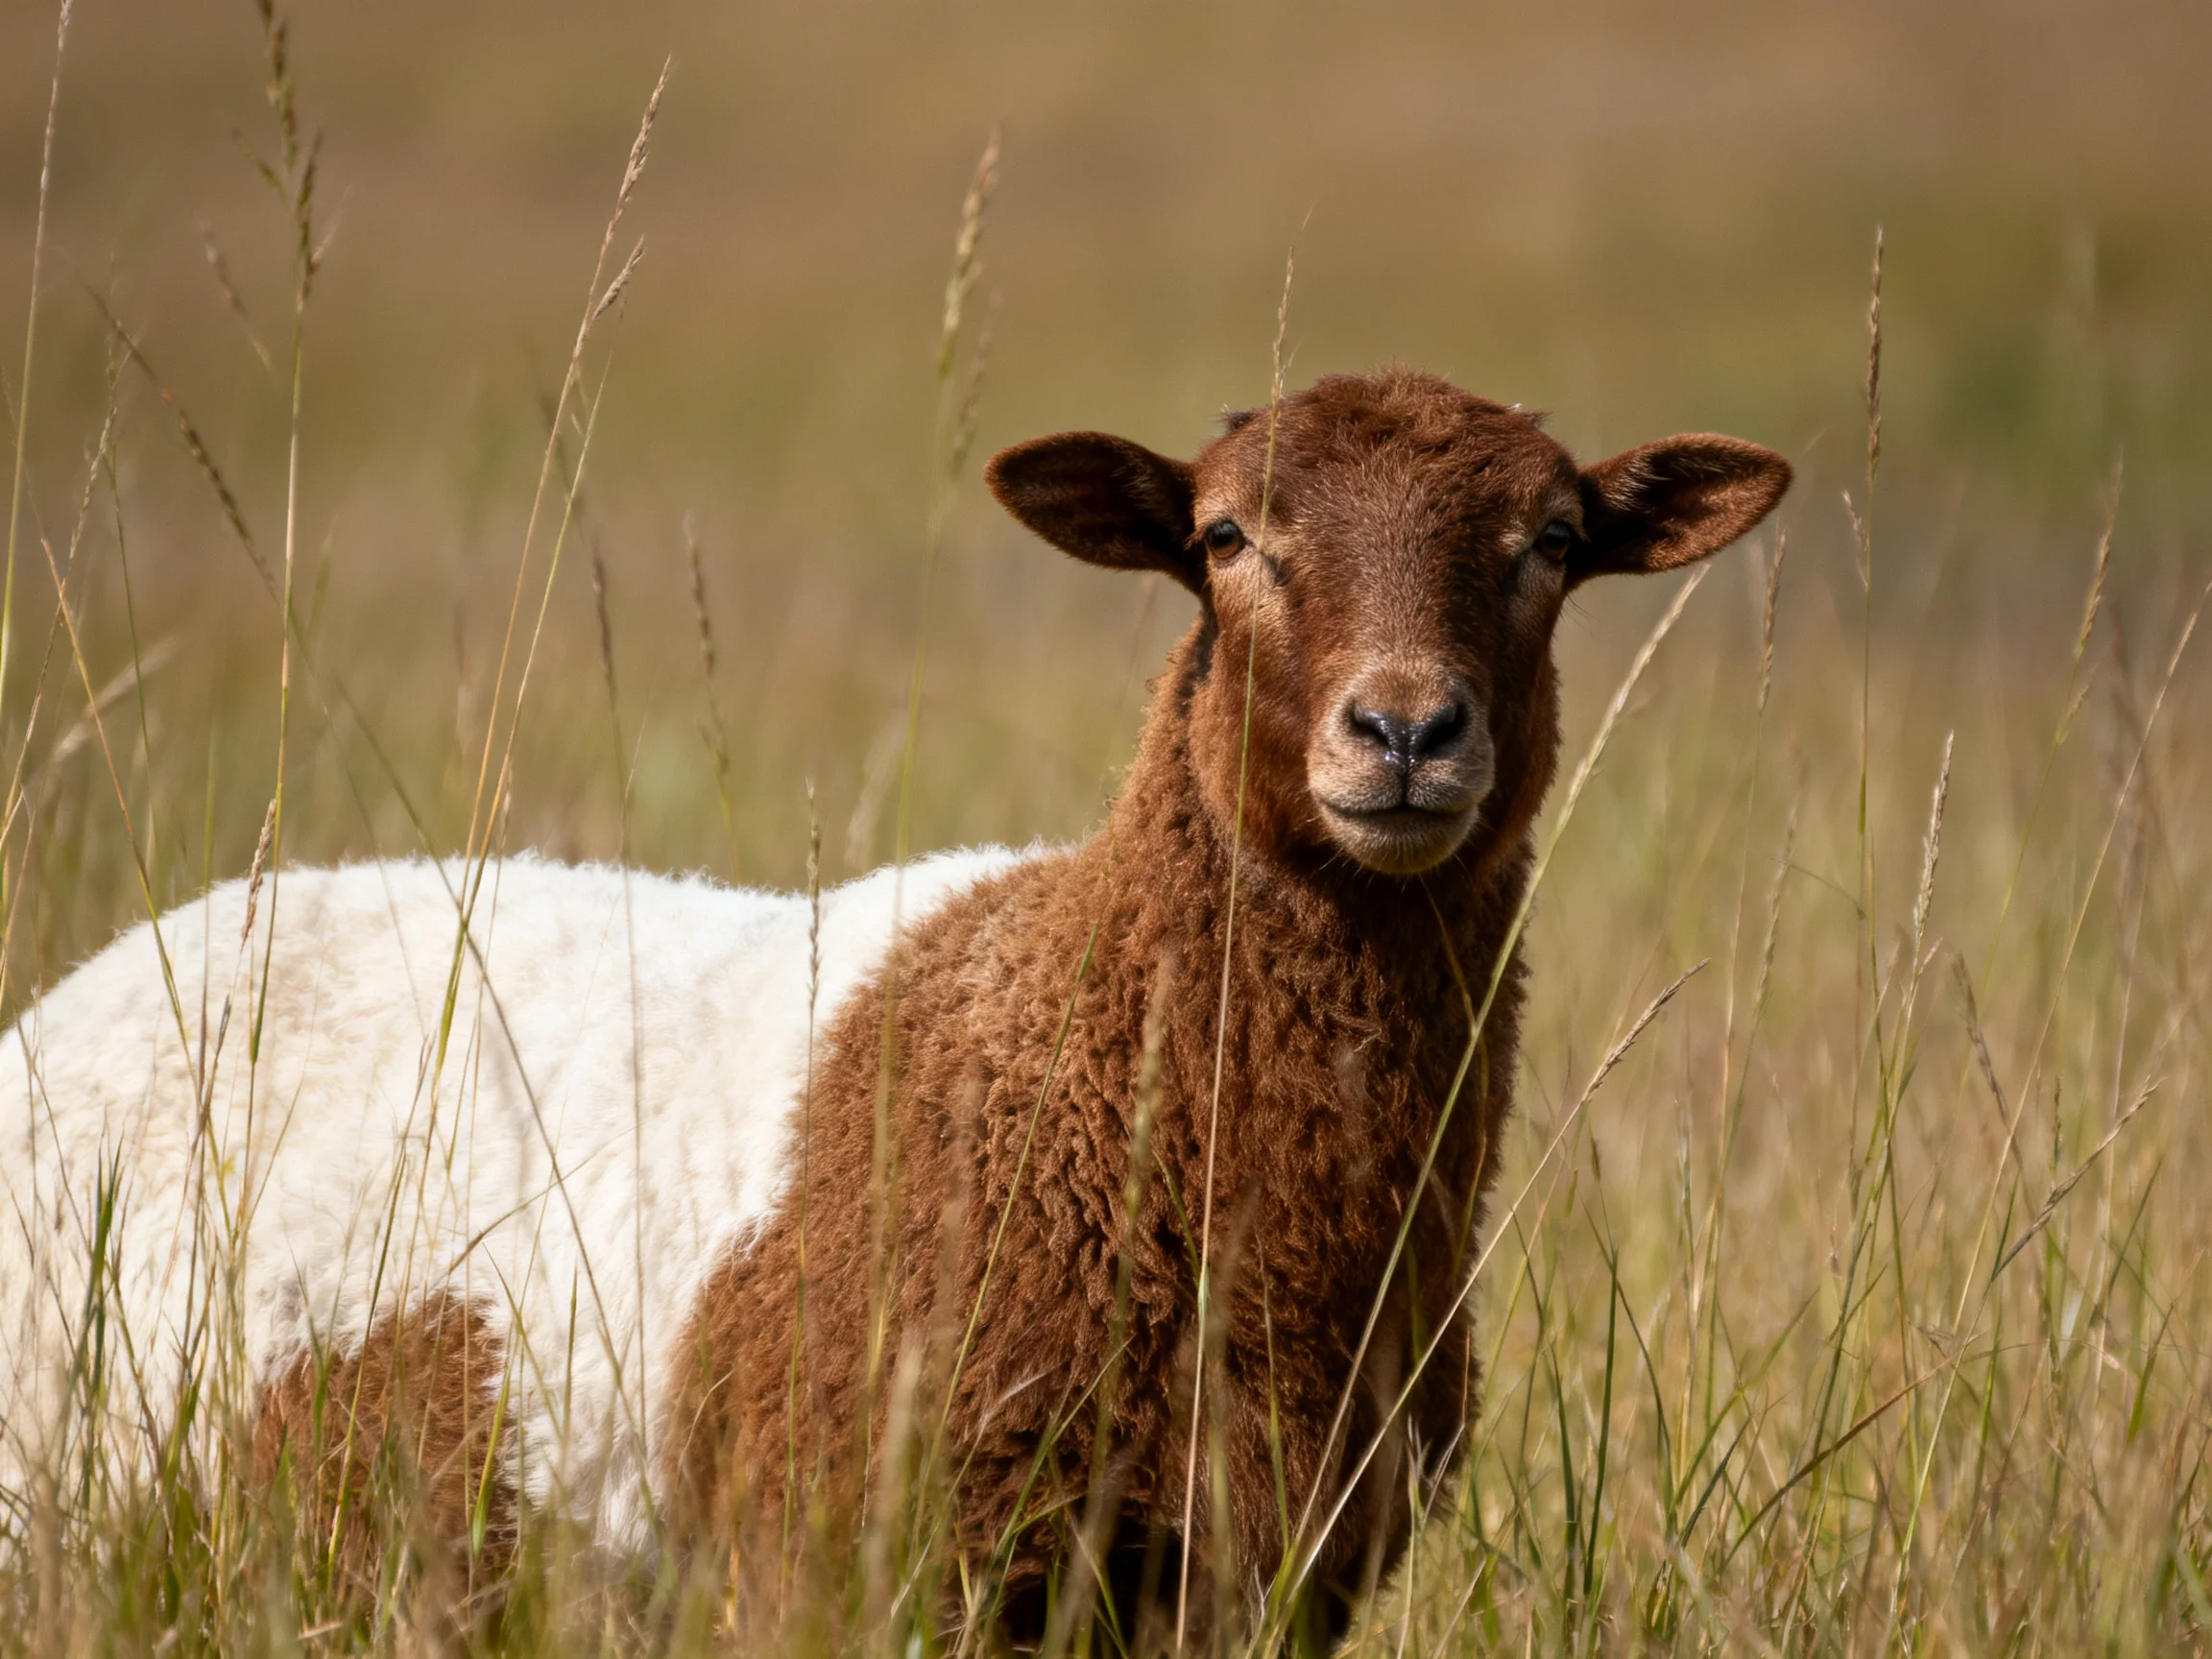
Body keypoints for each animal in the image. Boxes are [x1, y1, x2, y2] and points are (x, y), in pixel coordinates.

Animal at [0, 367, 1788, 1635]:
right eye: (1223, 540)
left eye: (1551, 545)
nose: (1405, 732)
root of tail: (90, 984)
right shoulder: (851, 1553)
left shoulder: (1258, 1573)